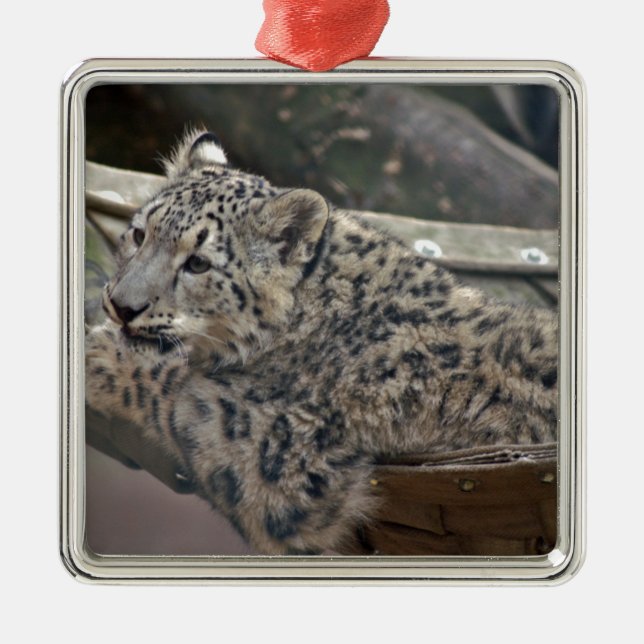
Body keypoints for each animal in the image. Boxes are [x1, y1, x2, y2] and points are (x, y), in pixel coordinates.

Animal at [85, 130, 558, 555]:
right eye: (140, 234)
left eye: (198, 263)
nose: (122, 306)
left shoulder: (279, 453)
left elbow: (178, 392)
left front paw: (101, 354)